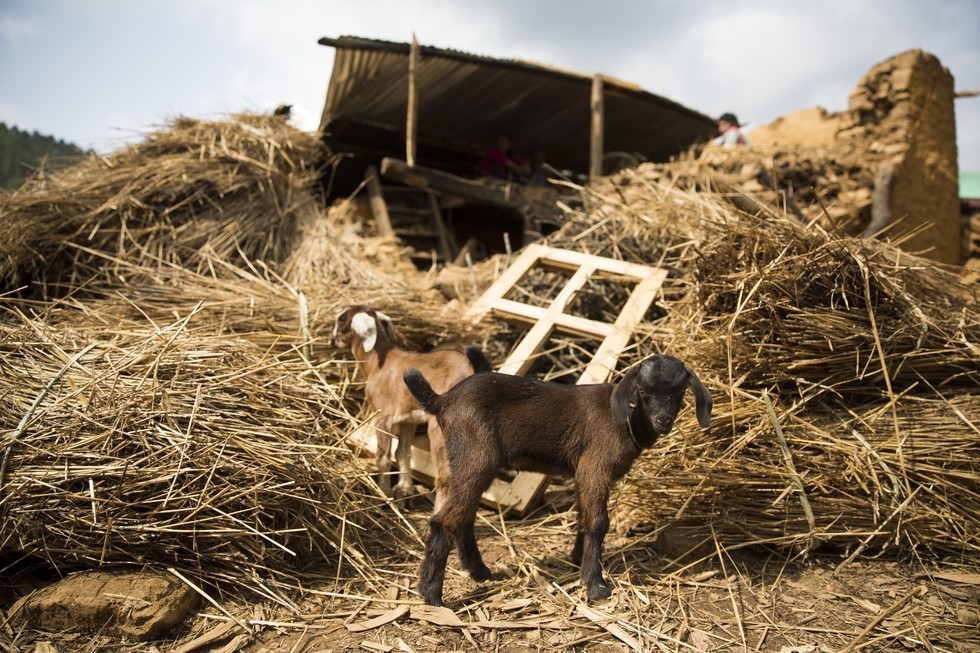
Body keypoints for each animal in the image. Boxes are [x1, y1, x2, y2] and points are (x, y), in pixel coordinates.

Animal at [334, 306, 490, 504]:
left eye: (340, 321)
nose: (333, 341)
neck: (377, 363)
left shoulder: (383, 415)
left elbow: (383, 455)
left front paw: (384, 494)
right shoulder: (407, 420)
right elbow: (403, 453)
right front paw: (404, 490)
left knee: (446, 477)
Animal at [400, 354, 712, 604]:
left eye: (680, 390)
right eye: (643, 390)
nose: (663, 420)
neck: (627, 421)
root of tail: (443, 400)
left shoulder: (581, 473)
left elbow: (584, 516)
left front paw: (577, 560)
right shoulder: (595, 466)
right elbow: (599, 522)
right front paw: (595, 585)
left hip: (467, 463)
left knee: (463, 517)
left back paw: (480, 572)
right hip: (476, 457)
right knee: (445, 520)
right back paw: (431, 594)